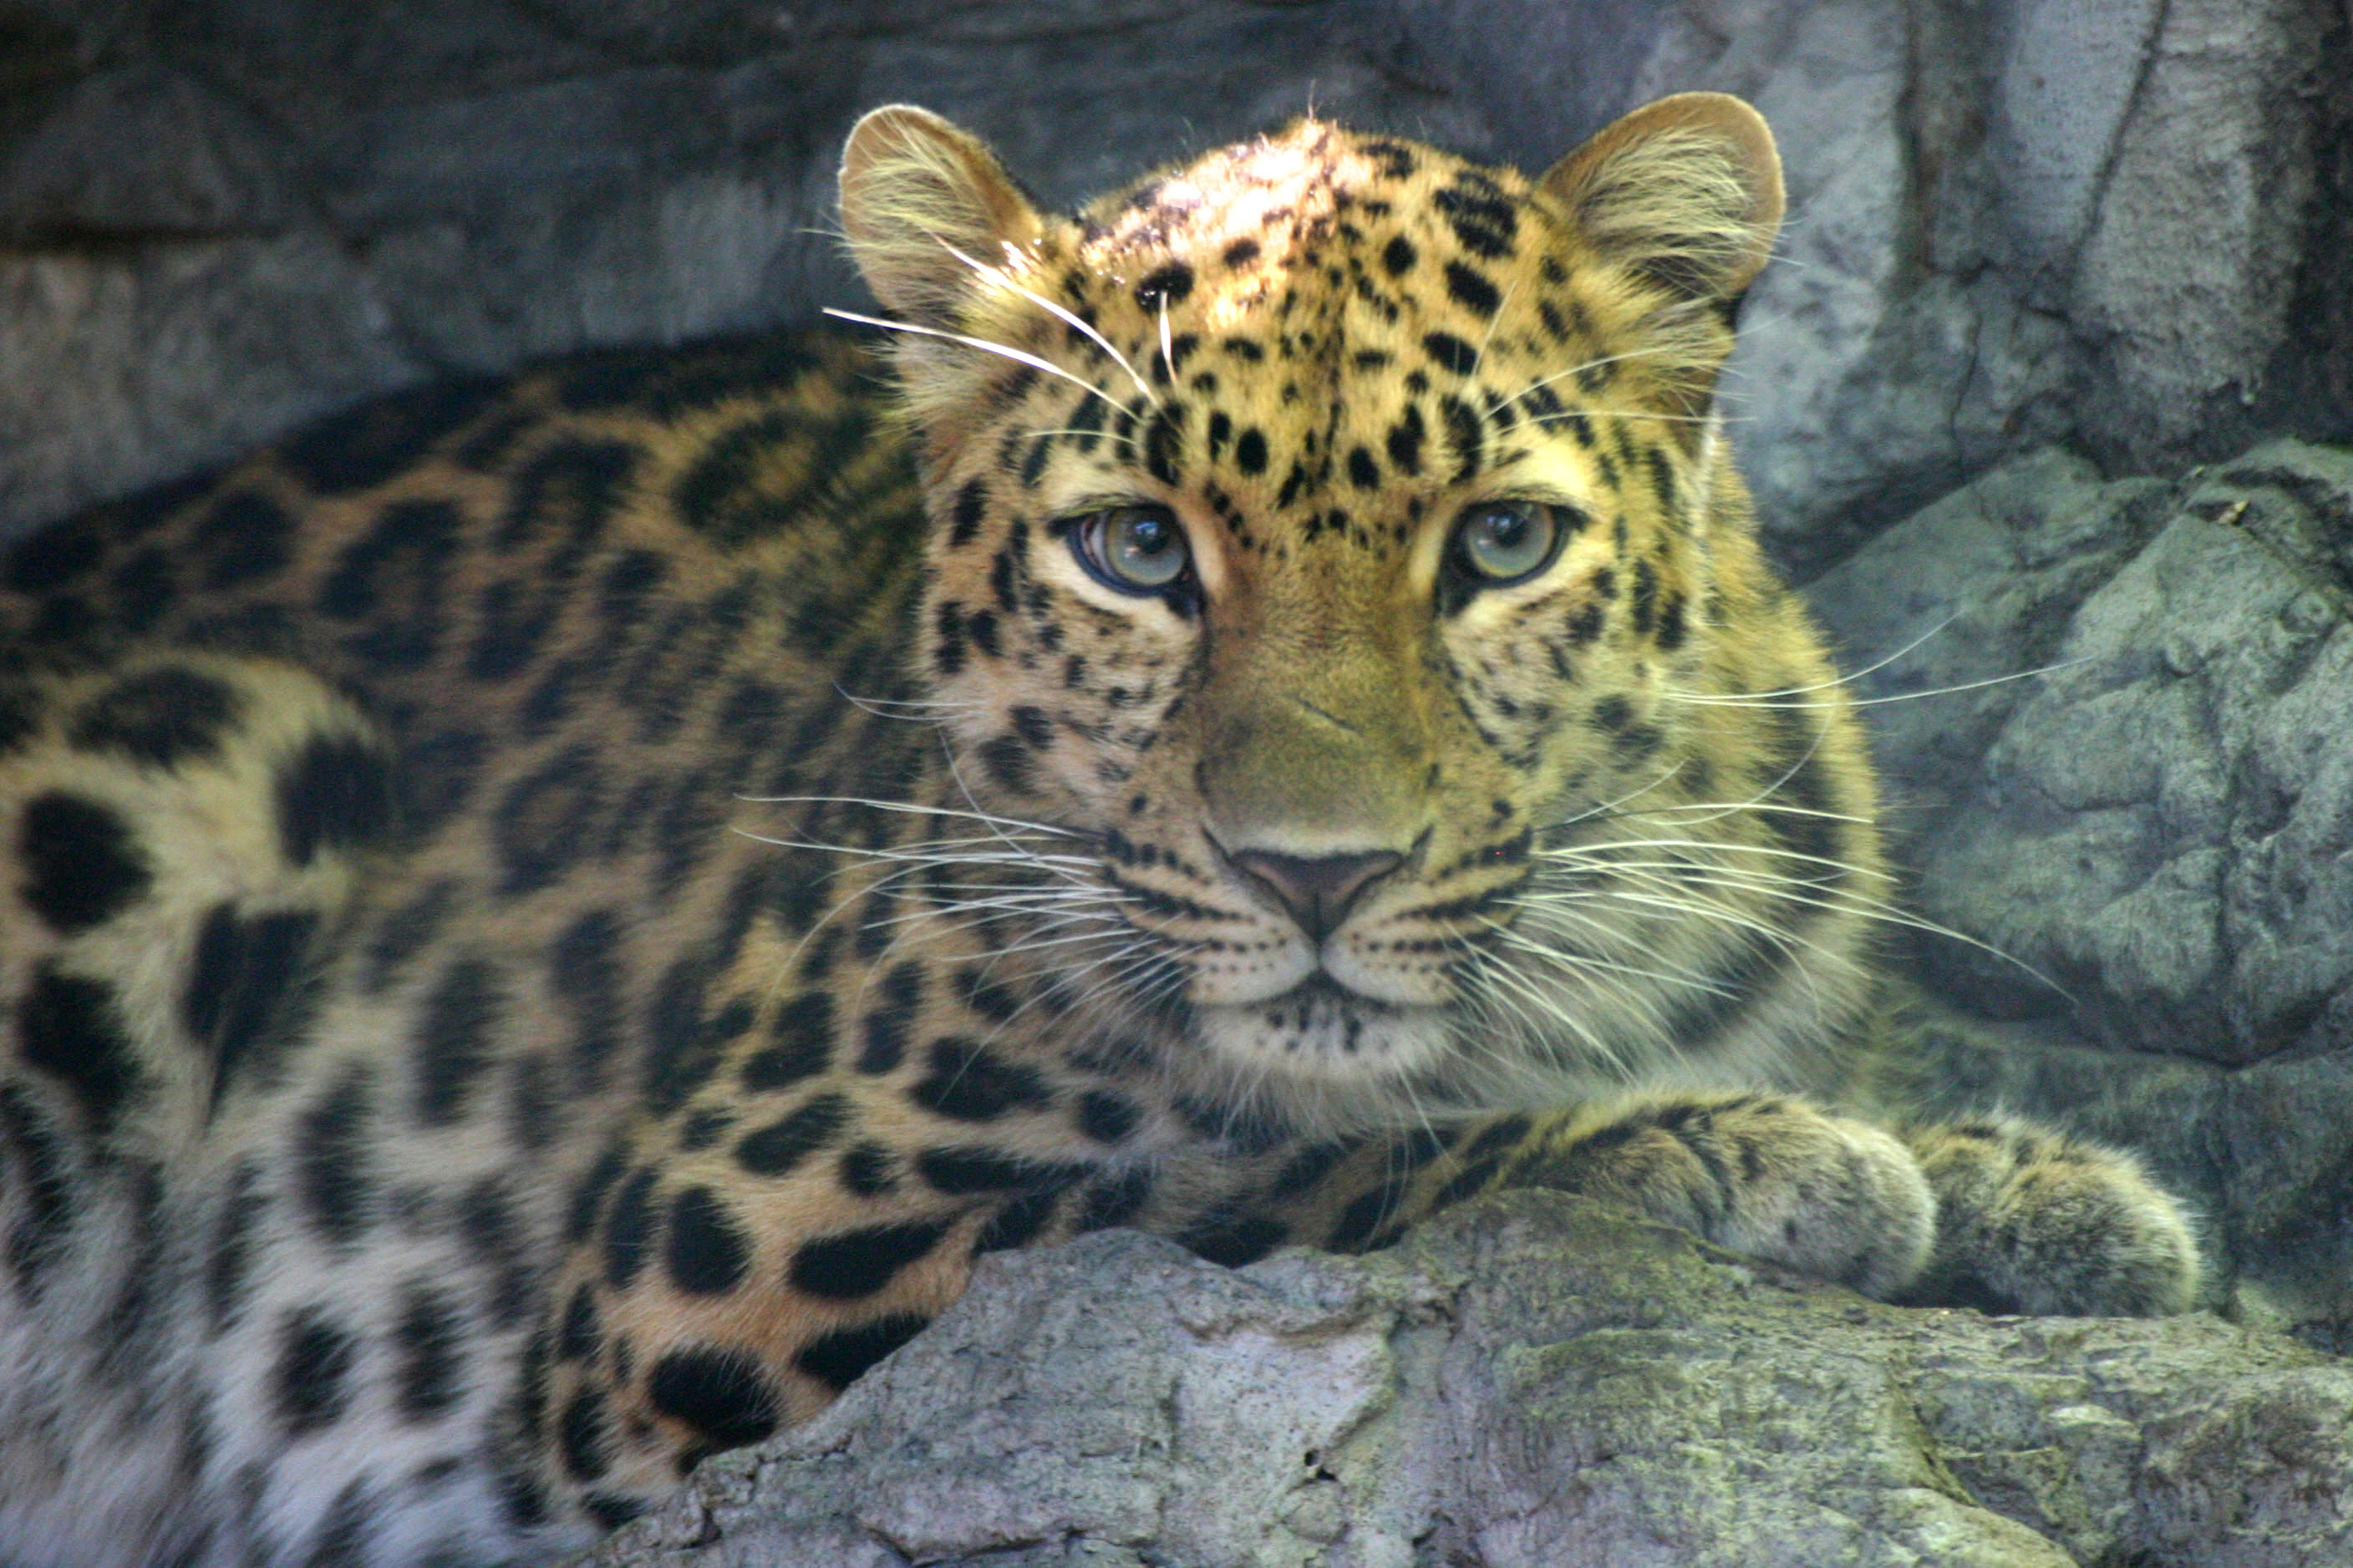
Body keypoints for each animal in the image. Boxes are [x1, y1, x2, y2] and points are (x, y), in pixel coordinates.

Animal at [4, 92, 2202, 1560]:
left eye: (1497, 543)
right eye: (1138, 551)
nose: (1313, 873)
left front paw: (2033, 1188)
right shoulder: (710, 1266)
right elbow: (1269, 1175)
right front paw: (1742, 1151)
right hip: (210, 767)